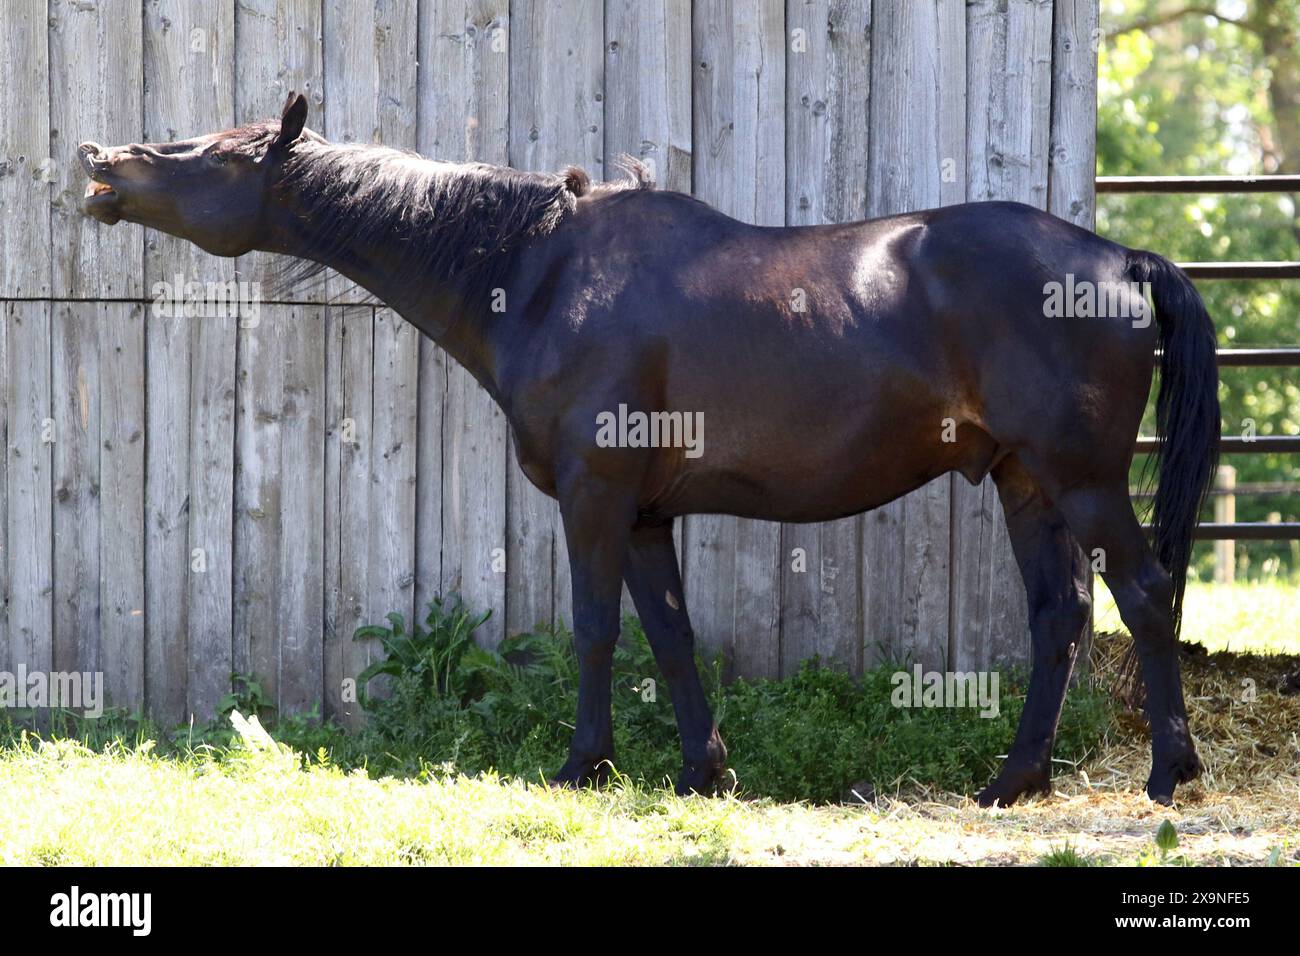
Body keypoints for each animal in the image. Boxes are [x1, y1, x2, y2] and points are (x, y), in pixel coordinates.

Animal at [81, 93, 1216, 806]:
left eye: (217, 155)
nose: (100, 165)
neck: (538, 270)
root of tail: (1116, 256)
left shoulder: (592, 494)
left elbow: (595, 632)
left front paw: (584, 766)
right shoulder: (643, 514)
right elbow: (669, 635)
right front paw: (701, 770)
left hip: (1082, 481)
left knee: (1145, 595)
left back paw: (1169, 775)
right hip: (1025, 483)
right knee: (1058, 617)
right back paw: (1011, 781)